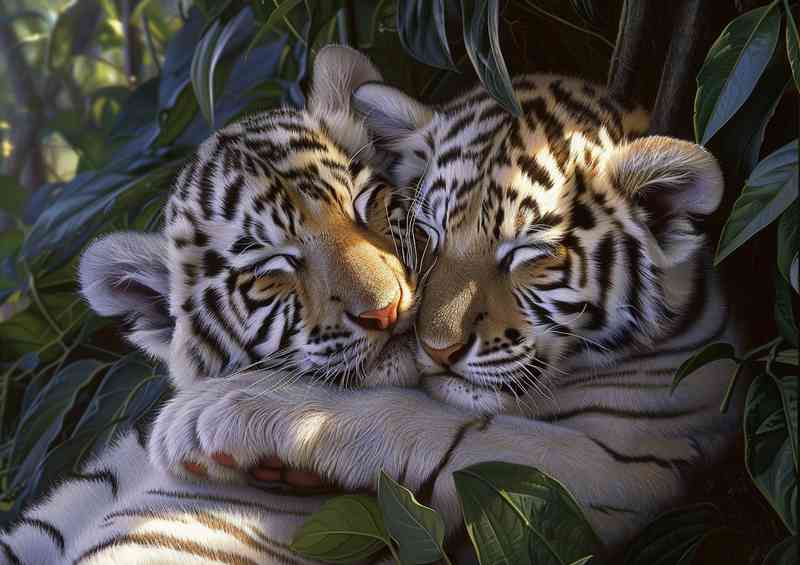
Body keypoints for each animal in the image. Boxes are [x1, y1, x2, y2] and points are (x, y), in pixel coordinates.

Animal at [144, 58, 747, 556]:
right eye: (428, 232)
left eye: (526, 254)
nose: (436, 349)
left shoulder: (620, 461)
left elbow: (424, 420)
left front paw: (215, 412)